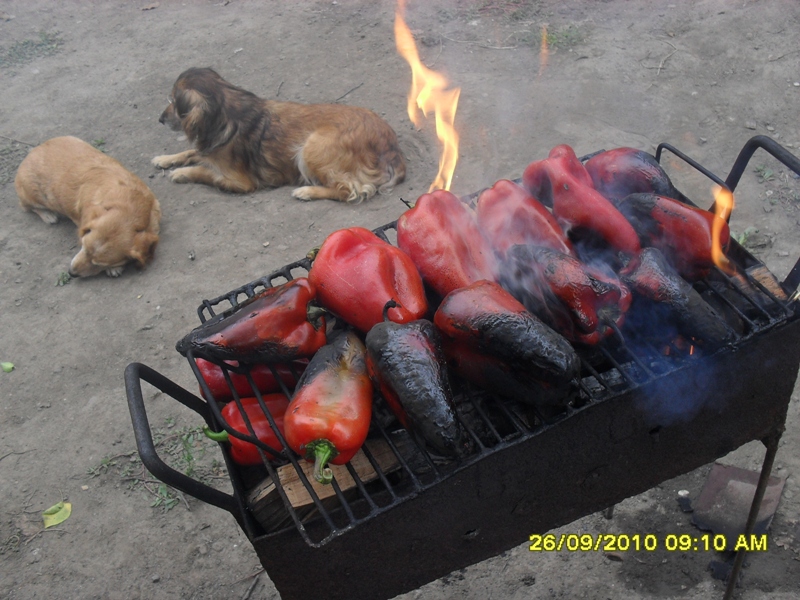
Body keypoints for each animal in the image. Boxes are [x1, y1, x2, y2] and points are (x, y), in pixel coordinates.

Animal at [14, 135, 161, 276]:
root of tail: (33, 151)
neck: (130, 202)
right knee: (27, 206)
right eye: (83, 247)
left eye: (98, 264)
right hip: (33, 195)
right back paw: (48, 215)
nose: (71, 273)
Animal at [152, 67, 406, 200]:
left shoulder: (239, 181)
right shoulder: (210, 148)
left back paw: (306, 191)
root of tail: (390, 146)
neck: (227, 110)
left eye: (173, 102)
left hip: (311, 147)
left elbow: (204, 171)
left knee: (350, 190)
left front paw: (181, 173)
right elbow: (192, 151)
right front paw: (165, 159)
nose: (160, 119)